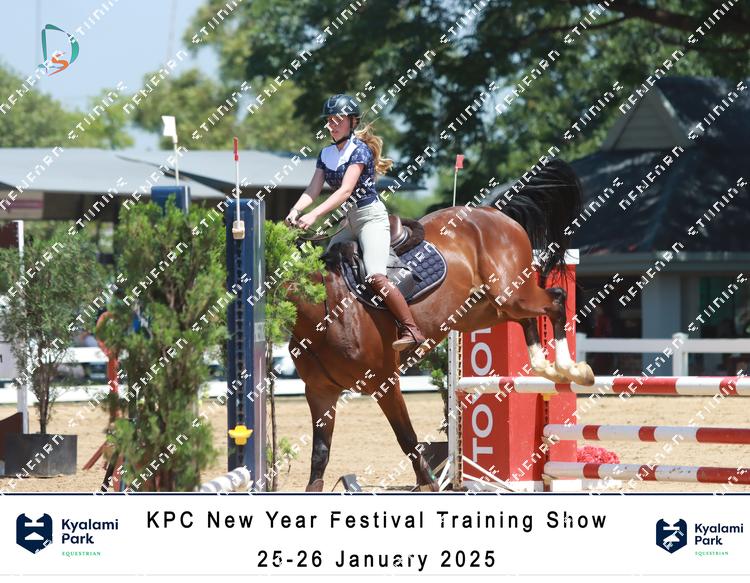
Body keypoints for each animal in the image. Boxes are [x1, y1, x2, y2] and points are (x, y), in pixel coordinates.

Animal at [289, 159, 595, 492]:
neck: (324, 313)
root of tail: (494, 213)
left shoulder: (385, 383)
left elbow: (408, 440)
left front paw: (429, 484)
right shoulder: (320, 392)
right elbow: (320, 454)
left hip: (512, 294)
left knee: (556, 299)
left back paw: (570, 368)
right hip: (486, 309)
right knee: (528, 317)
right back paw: (545, 366)